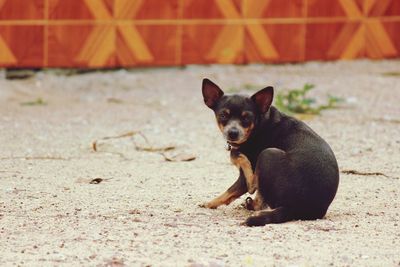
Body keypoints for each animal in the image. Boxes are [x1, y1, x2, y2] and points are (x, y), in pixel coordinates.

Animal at [198, 78, 340, 227]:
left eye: (246, 118)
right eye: (223, 115)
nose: (233, 133)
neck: (259, 124)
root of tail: (294, 209)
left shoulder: (244, 177)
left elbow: (232, 189)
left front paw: (209, 203)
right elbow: (230, 193)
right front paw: (210, 204)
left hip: (267, 153)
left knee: (254, 188)